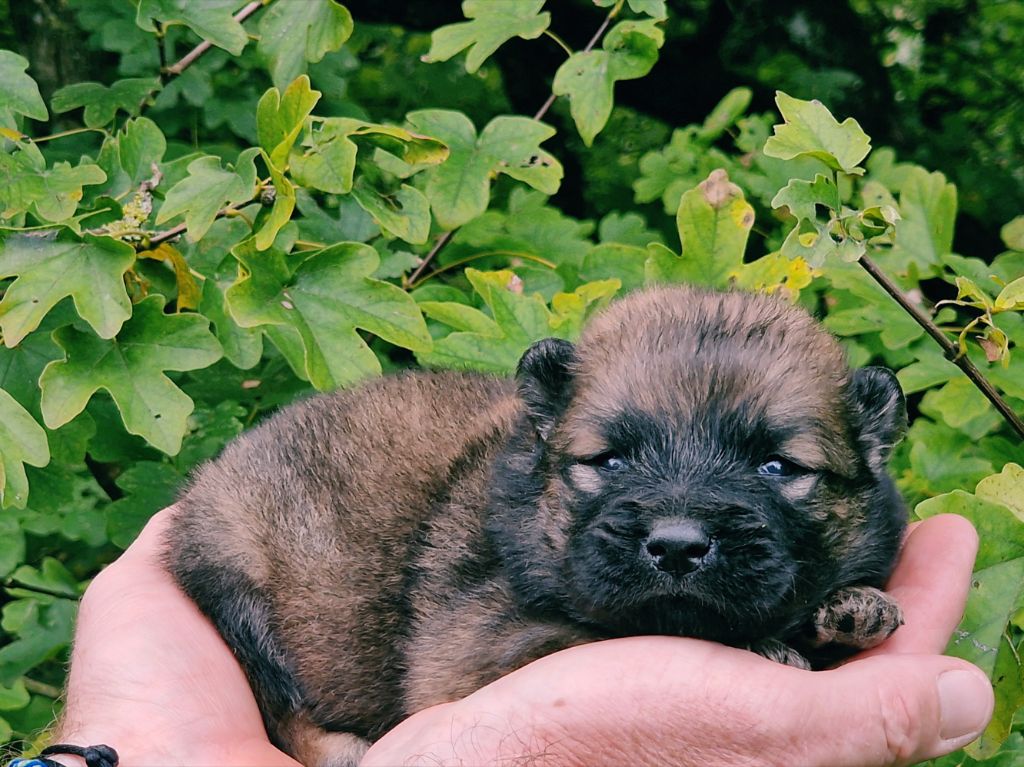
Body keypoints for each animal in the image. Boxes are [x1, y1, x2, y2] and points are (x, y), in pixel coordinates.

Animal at [163, 286, 909, 765]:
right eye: (608, 460)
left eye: (779, 467)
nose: (676, 547)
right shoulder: (477, 647)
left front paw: (848, 607)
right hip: (237, 579)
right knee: (284, 706)